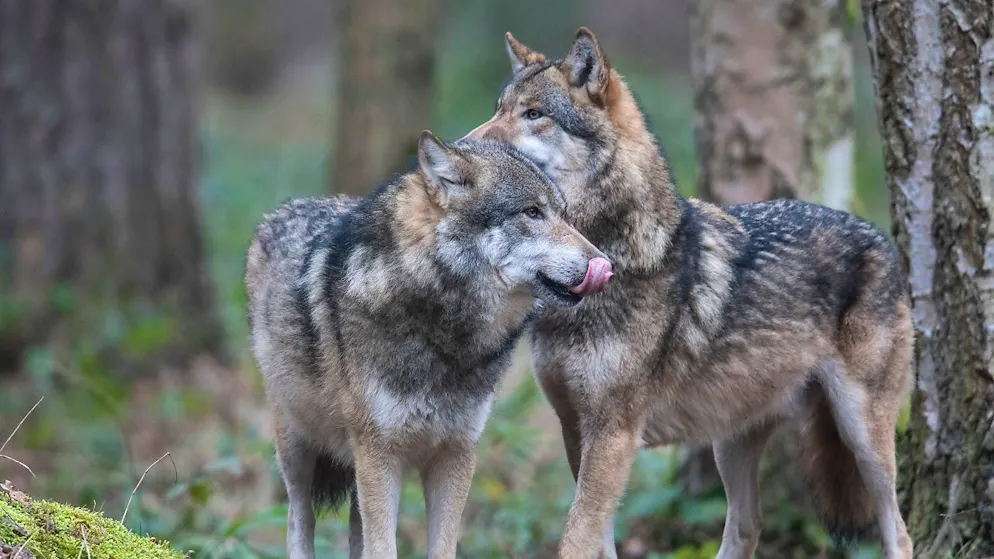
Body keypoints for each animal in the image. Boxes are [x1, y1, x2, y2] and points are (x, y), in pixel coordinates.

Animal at [245, 131, 613, 559]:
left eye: (563, 214)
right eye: (532, 212)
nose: (606, 265)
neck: (443, 331)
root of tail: (282, 210)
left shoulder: (456, 454)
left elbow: (440, 547)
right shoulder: (380, 456)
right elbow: (382, 549)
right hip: (298, 448)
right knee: (297, 520)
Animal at [463, 28, 913, 559]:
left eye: (534, 114)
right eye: (498, 108)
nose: (460, 150)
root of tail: (881, 238)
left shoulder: (613, 435)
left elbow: (576, 537)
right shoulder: (575, 430)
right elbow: (598, 541)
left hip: (862, 434)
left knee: (899, 531)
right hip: (732, 441)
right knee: (747, 527)